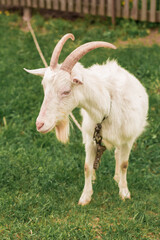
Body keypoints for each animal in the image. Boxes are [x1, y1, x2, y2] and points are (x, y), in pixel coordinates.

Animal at [24, 33, 148, 205]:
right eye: (44, 87)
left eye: (66, 91)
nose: (40, 124)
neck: (107, 107)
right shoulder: (90, 138)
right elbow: (87, 167)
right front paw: (85, 197)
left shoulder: (128, 139)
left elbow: (124, 164)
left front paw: (124, 193)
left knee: (118, 154)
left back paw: (117, 178)